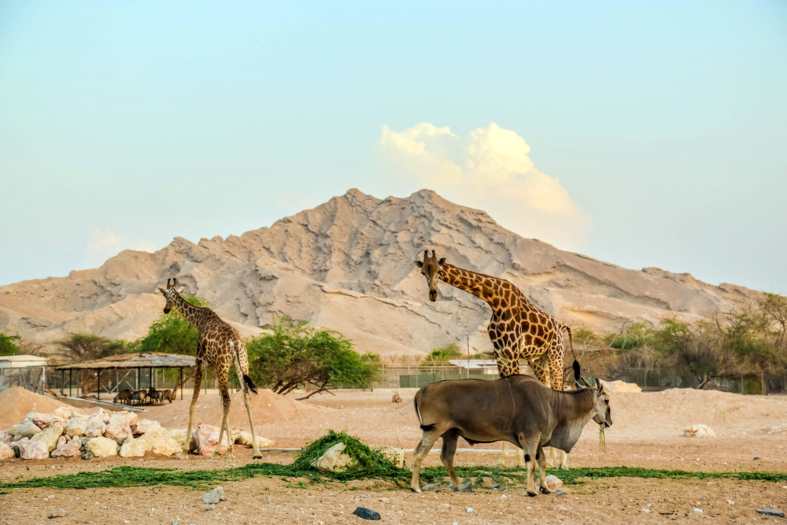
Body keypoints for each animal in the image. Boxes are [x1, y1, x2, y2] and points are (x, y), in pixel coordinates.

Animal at [158, 278, 263, 458]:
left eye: (166, 296)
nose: (166, 309)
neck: (199, 320)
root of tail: (235, 342)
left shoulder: (200, 362)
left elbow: (193, 402)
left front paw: (185, 448)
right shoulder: (214, 366)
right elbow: (219, 400)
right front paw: (231, 446)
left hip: (224, 366)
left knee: (228, 400)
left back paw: (218, 448)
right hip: (240, 365)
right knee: (244, 397)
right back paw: (256, 451)